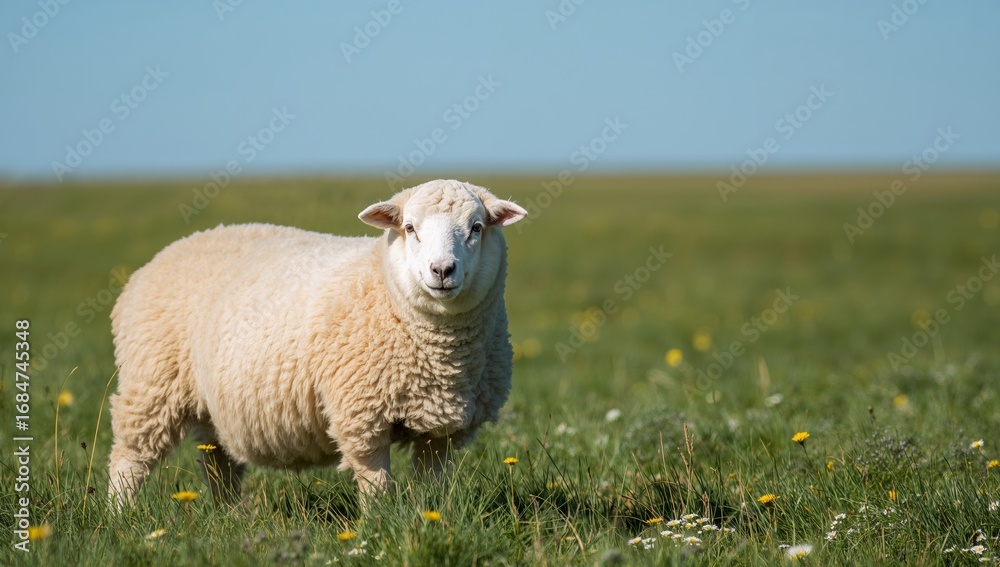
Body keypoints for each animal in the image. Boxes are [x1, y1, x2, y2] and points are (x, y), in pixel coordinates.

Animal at [107, 179, 526, 508]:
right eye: (409, 228)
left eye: (476, 227)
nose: (441, 270)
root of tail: (173, 248)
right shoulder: (361, 417)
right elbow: (376, 487)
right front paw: (379, 526)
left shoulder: (442, 432)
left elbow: (435, 486)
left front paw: (433, 518)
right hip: (151, 386)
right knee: (129, 460)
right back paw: (118, 518)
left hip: (211, 406)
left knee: (219, 464)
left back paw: (231, 516)